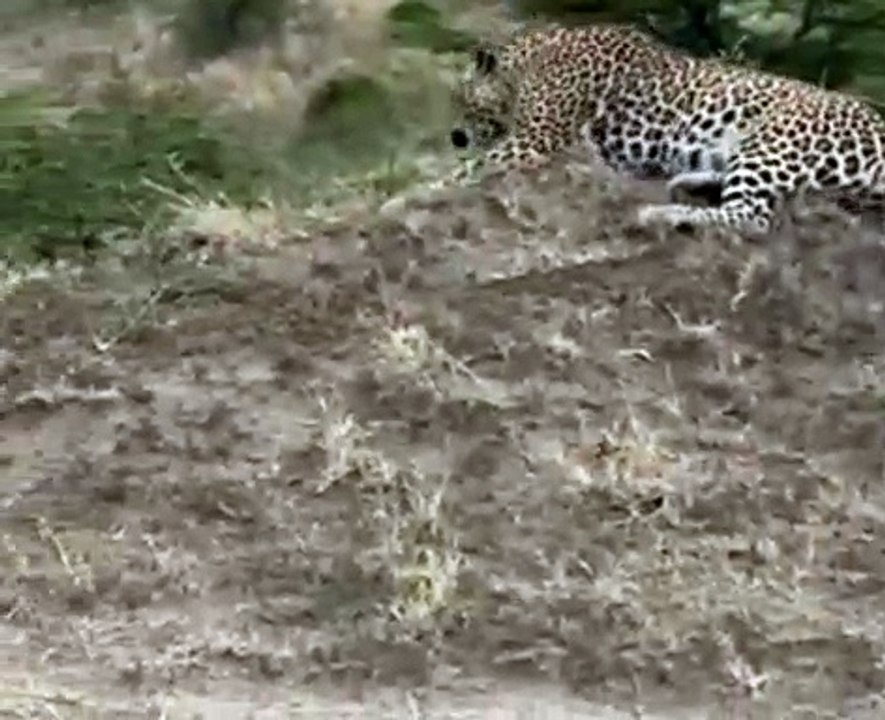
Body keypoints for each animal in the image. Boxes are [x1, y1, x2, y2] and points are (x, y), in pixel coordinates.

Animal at [450, 22, 885, 236]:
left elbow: (463, 172)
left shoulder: (536, 139)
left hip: (773, 140)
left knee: (754, 218)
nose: (455, 136)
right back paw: (687, 183)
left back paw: (658, 214)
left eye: (462, 98)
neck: (528, 62)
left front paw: (436, 185)